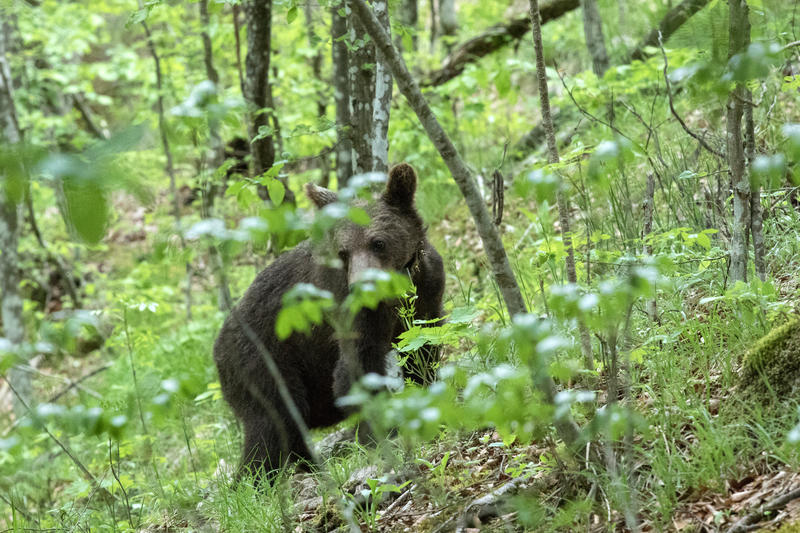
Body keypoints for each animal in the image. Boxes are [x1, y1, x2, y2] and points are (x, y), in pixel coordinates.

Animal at [212, 162, 446, 478]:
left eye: (378, 242)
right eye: (343, 252)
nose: (362, 287)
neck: (395, 294)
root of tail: (216, 348)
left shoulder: (427, 294)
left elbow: (422, 352)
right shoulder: (352, 316)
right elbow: (354, 372)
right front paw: (380, 434)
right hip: (261, 360)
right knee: (273, 424)